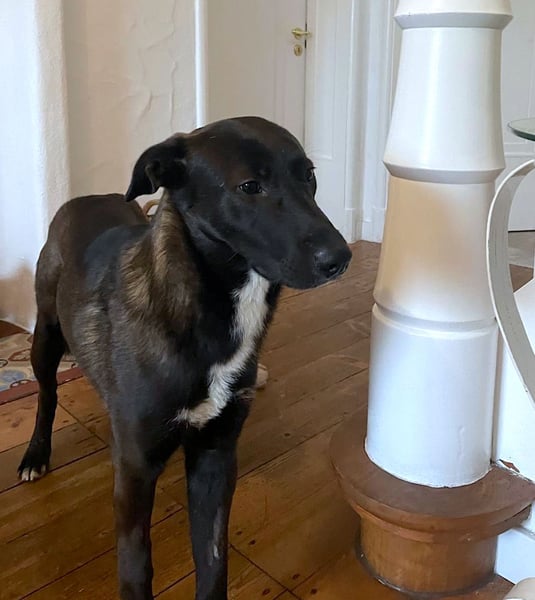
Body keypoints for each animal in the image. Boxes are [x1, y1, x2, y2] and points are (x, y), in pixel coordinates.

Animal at [18, 116, 352, 599]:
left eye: (308, 174)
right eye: (249, 186)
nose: (340, 259)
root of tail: (87, 198)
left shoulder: (215, 457)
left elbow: (213, 563)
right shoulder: (135, 471)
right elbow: (136, 569)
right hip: (45, 337)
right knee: (46, 395)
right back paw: (35, 454)